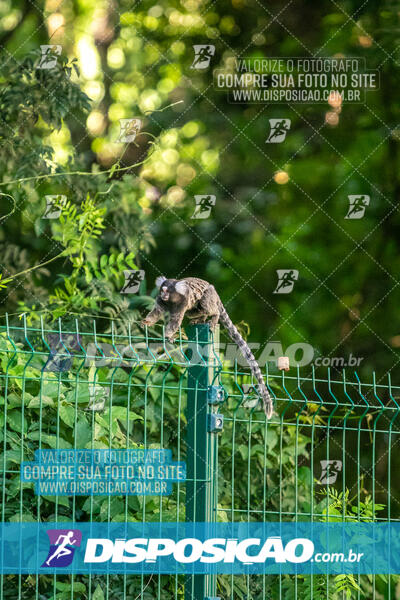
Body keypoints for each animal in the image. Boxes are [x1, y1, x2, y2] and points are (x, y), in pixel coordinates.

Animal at [141, 276, 276, 418]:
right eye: (162, 290)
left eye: (168, 291)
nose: (163, 294)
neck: (172, 300)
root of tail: (217, 296)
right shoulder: (161, 301)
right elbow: (156, 312)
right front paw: (146, 322)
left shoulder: (183, 302)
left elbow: (176, 320)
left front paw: (168, 335)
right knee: (195, 311)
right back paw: (200, 319)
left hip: (210, 296)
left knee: (207, 305)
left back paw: (213, 316)